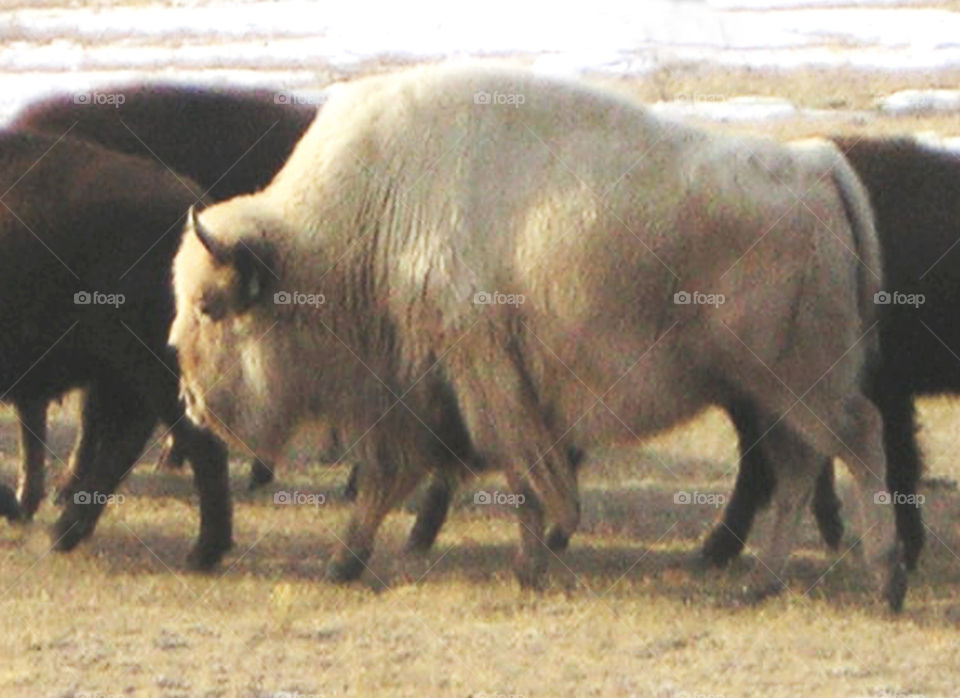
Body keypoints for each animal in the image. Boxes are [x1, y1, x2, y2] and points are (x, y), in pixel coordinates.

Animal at [169, 67, 905, 608]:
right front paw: (527, 558)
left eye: (209, 305)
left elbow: (458, 471)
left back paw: (886, 579)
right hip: (767, 391)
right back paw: (763, 583)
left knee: (856, 440)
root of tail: (816, 164)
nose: (191, 402)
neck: (357, 230)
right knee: (799, 466)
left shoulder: (465, 385)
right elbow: (493, 475)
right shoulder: (483, 396)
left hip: (796, 381)